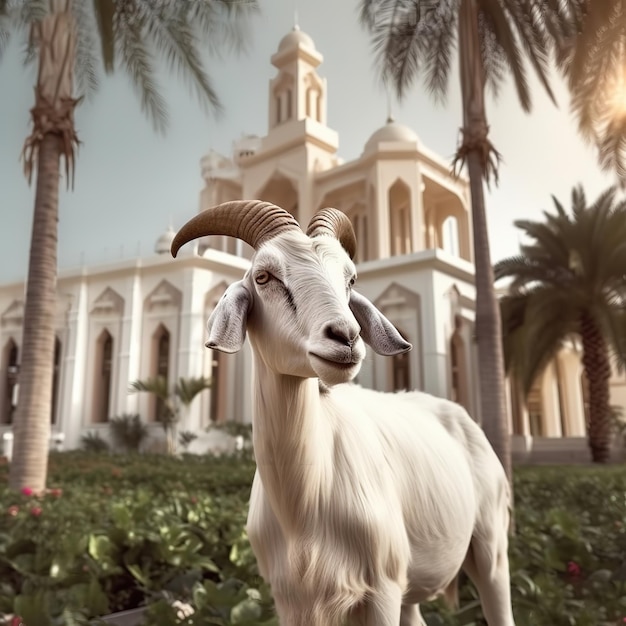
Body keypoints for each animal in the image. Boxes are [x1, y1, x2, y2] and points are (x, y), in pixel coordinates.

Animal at [171, 201, 512, 624]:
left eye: (350, 280)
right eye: (264, 277)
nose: (346, 337)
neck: (305, 506)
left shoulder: (382, 588)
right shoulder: (290, 598)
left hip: (490, 549)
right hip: (413, 588)